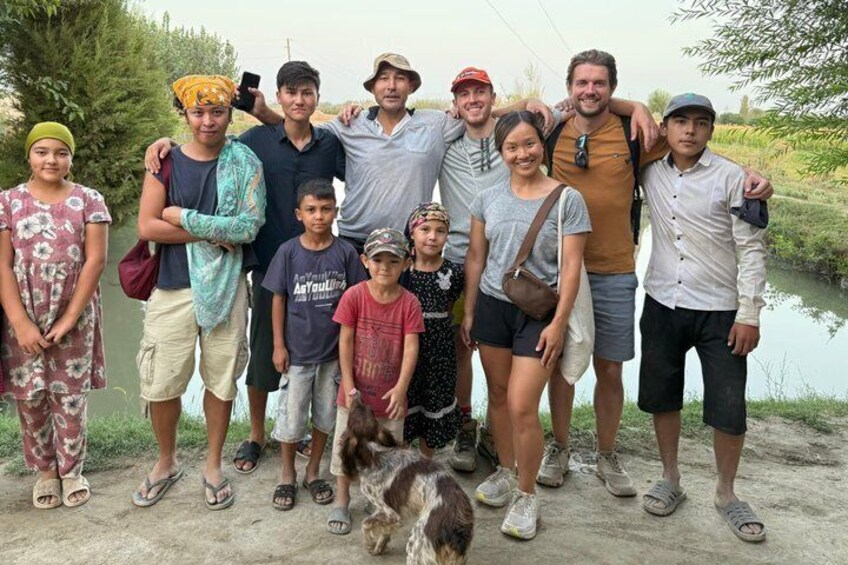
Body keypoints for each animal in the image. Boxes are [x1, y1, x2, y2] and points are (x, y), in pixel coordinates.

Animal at [340, 395, 474, 565]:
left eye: (354, 410)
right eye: (369, 409)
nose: (355, 394)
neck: (374, 453)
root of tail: (456, 530)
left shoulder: (390, 512)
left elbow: (366, 524)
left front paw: (370, 545)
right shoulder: (390, 513)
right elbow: (384, 532)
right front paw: (379, 547)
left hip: (416, 545)